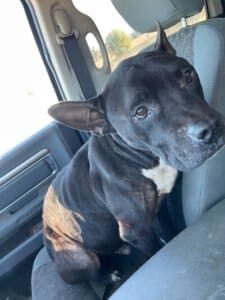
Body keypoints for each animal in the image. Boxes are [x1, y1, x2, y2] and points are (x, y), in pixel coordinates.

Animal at [42, 24, 225, 284]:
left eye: (188, 76)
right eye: (140, 112)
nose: (211, 129)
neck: (145, 160)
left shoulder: (159, 207)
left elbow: (168, 231)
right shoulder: (137, 229)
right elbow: (154, 249)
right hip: (82, 257)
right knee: (92, 273)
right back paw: (109, 274)